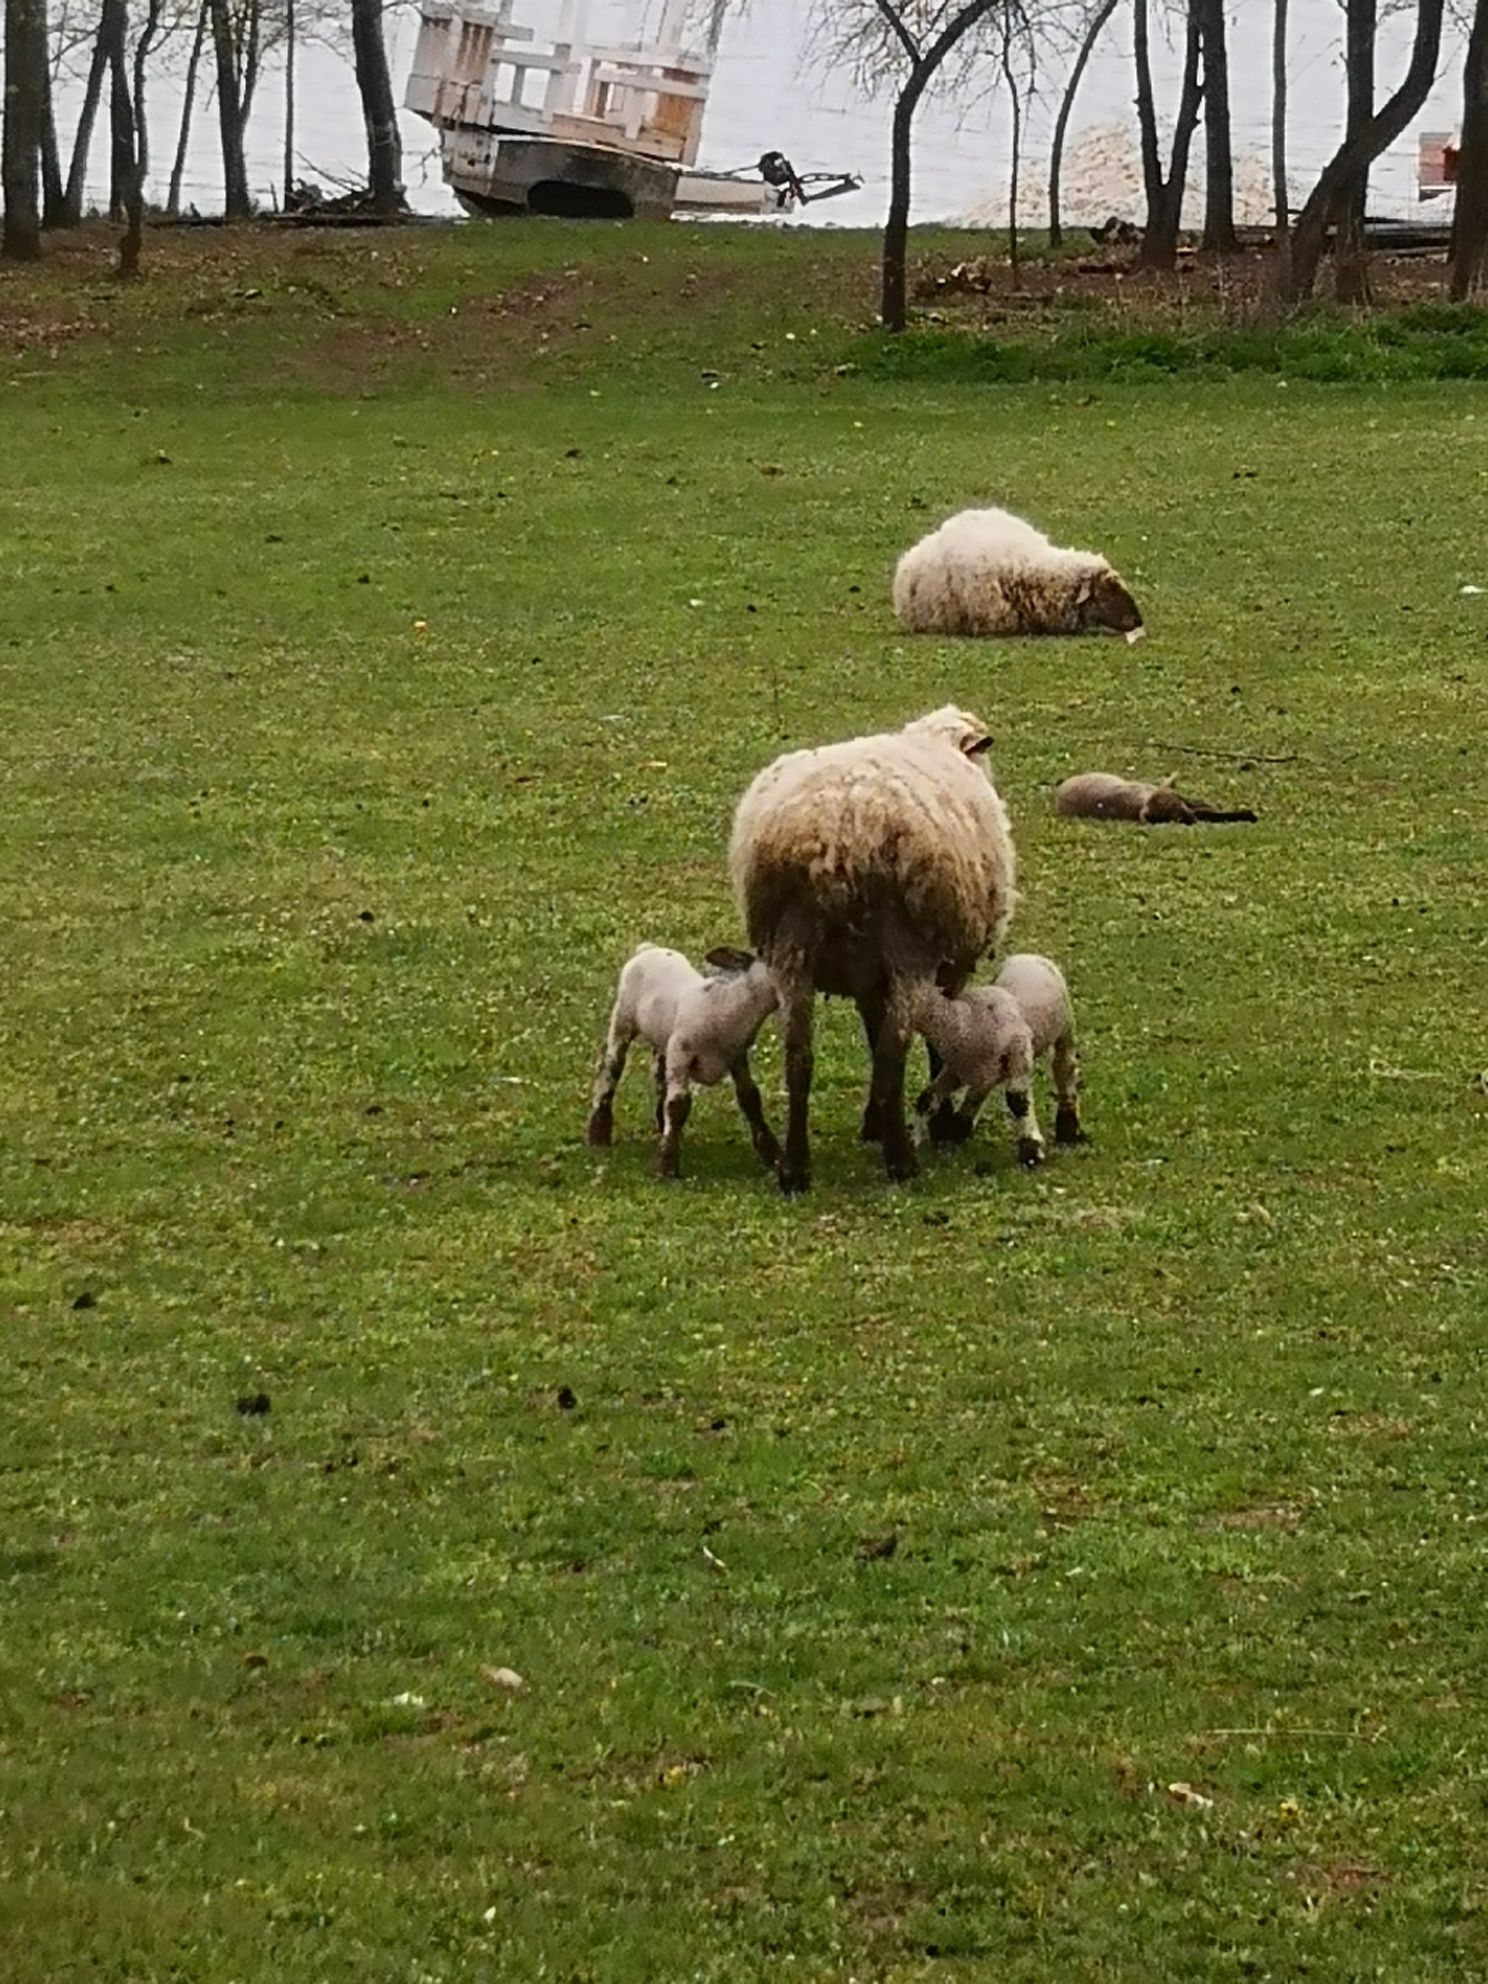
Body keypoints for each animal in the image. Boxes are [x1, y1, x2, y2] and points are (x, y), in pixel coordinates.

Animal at [587, 940, 785, 1174]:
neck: (726, 1003)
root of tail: (648, 948)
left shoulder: (737, 1057)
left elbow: (750, 1099)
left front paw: (773, 1155)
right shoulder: (681, 1052)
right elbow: (678, 1105)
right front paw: (667, 1164)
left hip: (663, 1036)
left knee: (658, 1071)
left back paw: (660, 1122)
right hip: (623, 1018)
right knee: (611, 1067)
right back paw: (598, 1132)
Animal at [730, 702, 1023, 1190]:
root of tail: (837, 837)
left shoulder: (867, 977)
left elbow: (870, 1031)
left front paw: (873, 1120)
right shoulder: (950, 966)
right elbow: (936, 1042)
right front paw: (937, 1120)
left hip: (790, 949)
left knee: (799, 1055)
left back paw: (795, 1168)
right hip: (908, 949)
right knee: (893, 1051)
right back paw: (900, 1160)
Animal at [908, 948, 1087, 1158]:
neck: (964, 1023)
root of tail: (1028, 955)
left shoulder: (1019, 1046)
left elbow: (1017, 1100)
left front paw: (1031, 1149)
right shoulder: (957, 1070)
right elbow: (928, 1098)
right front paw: (912, 1140)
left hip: (1065, 1024)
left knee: (1064, 1067)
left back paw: (1068, 1129)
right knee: (982, 1088)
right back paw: (961, 1126)